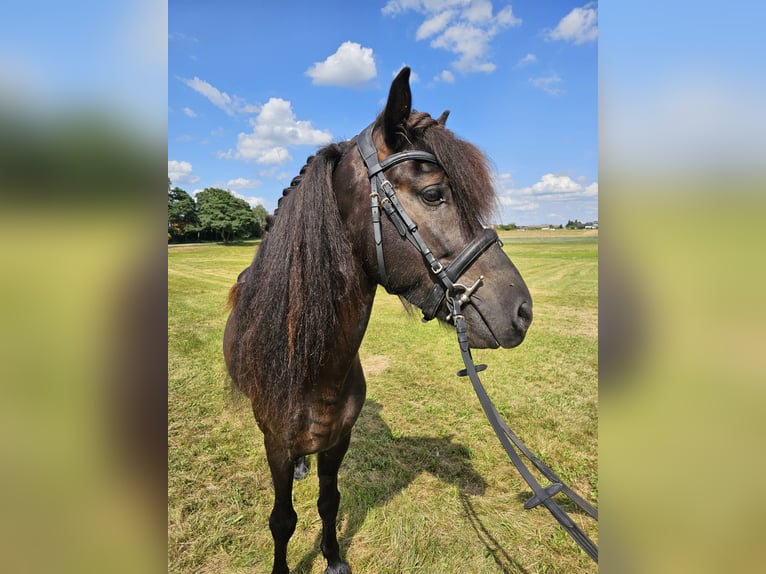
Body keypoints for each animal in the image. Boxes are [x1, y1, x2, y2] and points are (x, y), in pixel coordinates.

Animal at [222, 68, 536, 574]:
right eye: (434, 194)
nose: (523, 310)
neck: (316, 371)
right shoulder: (276, 446)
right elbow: (282, 520)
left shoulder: (338, 441)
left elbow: (329, 502)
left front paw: (333, 558)